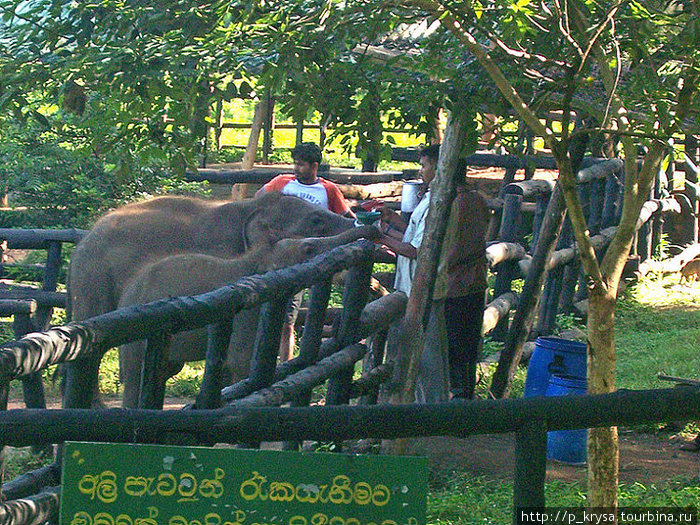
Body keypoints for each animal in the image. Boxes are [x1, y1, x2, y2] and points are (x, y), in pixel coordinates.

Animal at [117, 223, 380, 408]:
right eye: (308, 249)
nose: (375, 228)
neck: (256, 259)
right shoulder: (245, 311)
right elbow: (239, 362)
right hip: (137, 337)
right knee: (135, 377)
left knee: (165, 371)